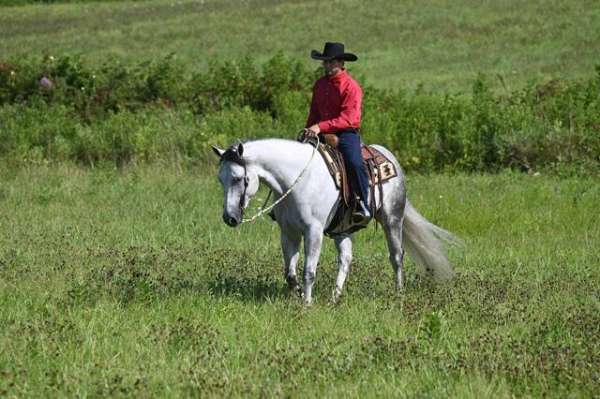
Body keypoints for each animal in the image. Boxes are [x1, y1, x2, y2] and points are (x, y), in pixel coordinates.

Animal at [213, 139, 462, 304]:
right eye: (221, 180)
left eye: (238, 179)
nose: (229, 218)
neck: (296, 180)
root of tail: (389, 157)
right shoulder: (288, 232)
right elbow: (290, 273)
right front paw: (296, 296)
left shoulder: (313, 231)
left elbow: (309, 270)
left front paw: (307, 304)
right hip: (343, 229)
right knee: (345, 259)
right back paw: (335, 297)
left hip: (392, 219)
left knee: (396, 257)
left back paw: (398, 293)